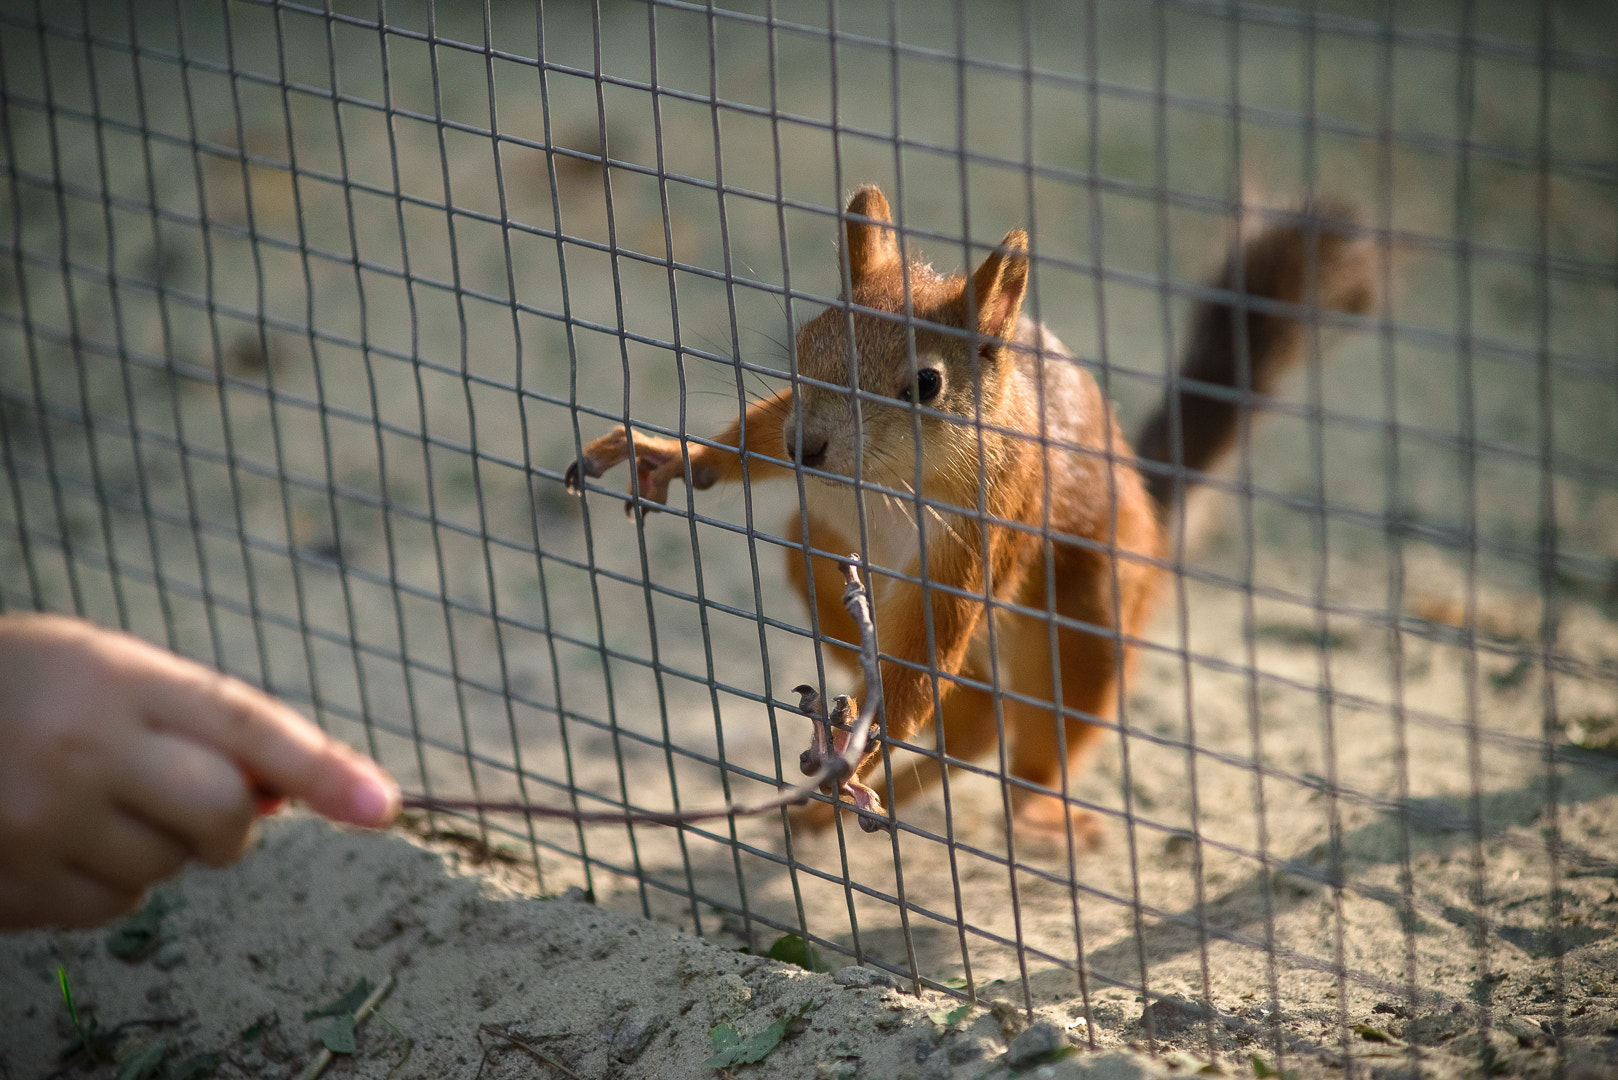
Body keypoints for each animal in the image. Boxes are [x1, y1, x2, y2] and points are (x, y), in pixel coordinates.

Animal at [563, 186, 1372, 841]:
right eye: (807, 339)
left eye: (926, 383)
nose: (808, 447)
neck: (883, 481)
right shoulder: (799, 458)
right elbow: (753, 437)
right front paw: (669, 456)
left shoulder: (981, 531)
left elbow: (920, 664)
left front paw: (851, 757)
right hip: (813, 548)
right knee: (974, 714)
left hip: (1089, 624)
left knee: (1025, 727)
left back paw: (1031, 810)